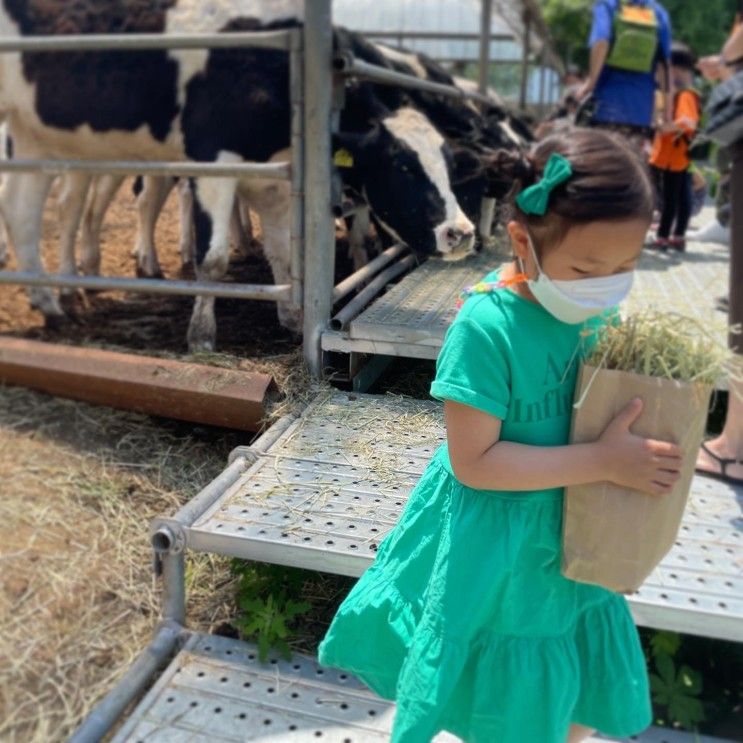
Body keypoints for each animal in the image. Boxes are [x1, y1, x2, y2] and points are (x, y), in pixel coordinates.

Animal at [0, 1, 476, 350]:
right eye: (402, 165)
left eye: (450, 162)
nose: (462, 232)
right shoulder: (214, 161)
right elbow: (212, 259)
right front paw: (201, 336)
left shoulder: (278, 176)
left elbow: (284, 252)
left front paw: (292, 318)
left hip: (36, 136)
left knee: (24, 211)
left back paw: (51, 304)